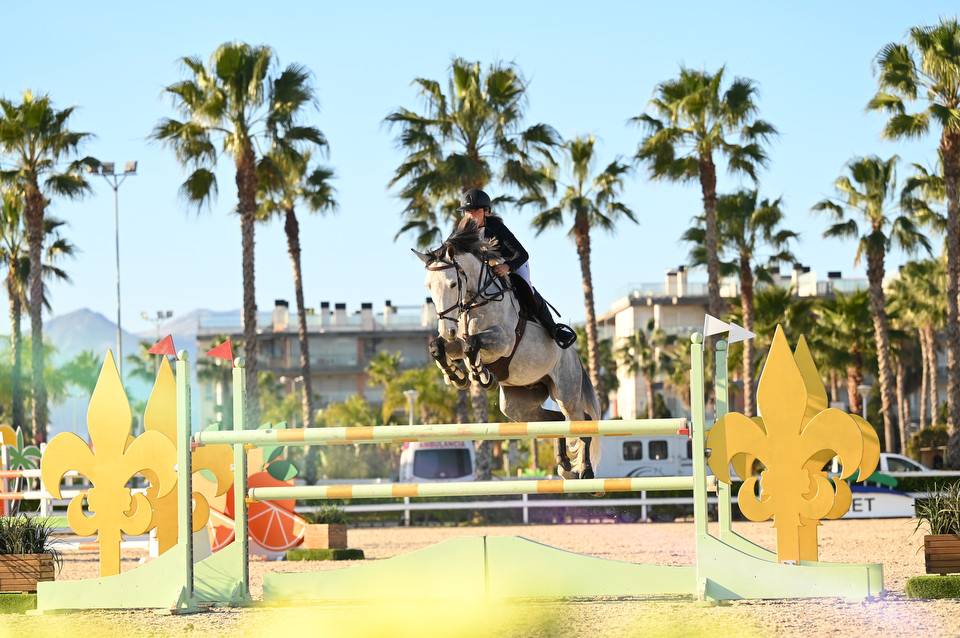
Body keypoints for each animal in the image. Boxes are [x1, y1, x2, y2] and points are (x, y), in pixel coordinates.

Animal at [413, 223, 601, 479]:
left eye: (452, 284)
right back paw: (564, 466)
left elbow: (473, 345)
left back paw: (584, 470)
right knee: (557, 419)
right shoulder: (457, 343)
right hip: (517, 404)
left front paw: (481, 375)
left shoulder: (503, 341)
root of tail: (575, 357)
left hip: (566, 391)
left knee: (581, 419)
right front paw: (457, 376)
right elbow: (439, 347)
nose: (447, 330)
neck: (477, 302)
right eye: (429, 287)